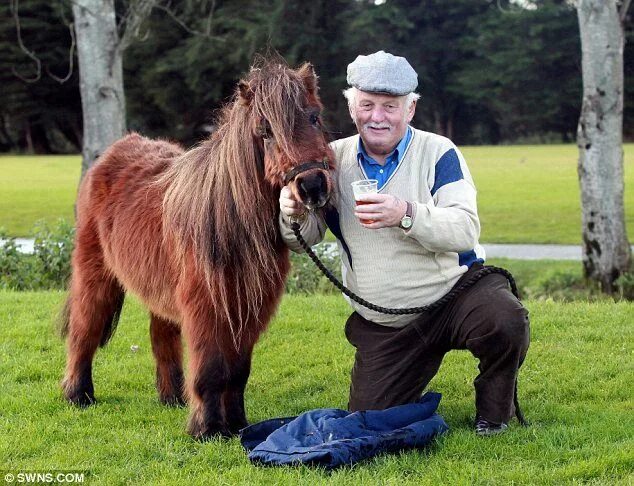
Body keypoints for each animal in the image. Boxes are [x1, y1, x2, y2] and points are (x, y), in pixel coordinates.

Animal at [61, 58, 334, 438]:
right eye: (265, 131)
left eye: (314, 117)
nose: (311, 186)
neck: (228, 219)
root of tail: (113, 152)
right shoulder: (207, 306)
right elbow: (211, 368)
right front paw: (208, 428)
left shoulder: (248, 306)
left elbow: (237, 370)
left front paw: (237, 425)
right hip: (95, 273)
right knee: (84, 329)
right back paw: (78, 394)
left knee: (161, 337)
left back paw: (172, 397)